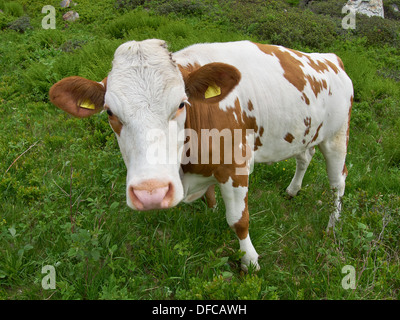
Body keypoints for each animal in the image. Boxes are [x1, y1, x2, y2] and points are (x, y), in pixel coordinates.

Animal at [49, 38, 354, 272]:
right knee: (304, 158)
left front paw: (250, 261)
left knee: (338, 182)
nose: (151, 193)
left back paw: (332, 225)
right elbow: (210, 199)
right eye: (110, 112)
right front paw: (212, 210)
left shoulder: (235, 166)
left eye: (181, 104)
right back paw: (292, 190)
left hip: (337, 136)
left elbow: (238, 220)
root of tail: (331, 58)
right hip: (307, 133)